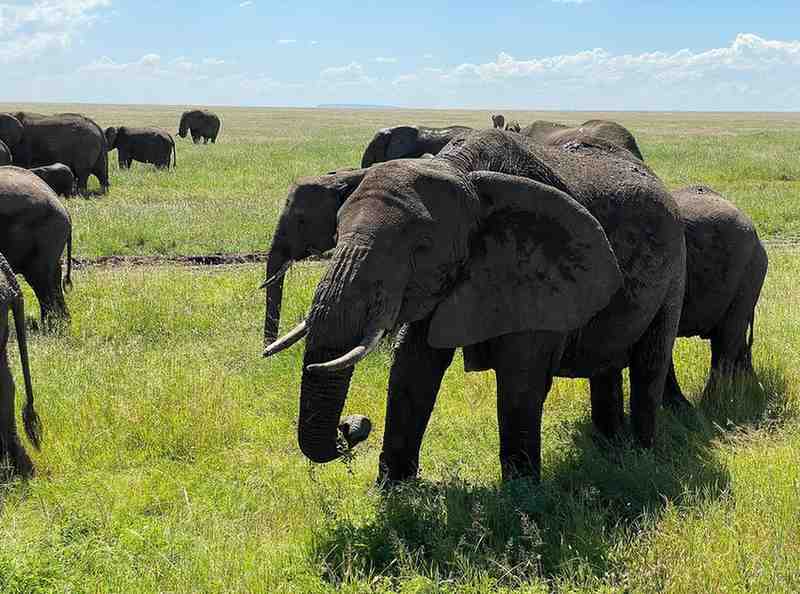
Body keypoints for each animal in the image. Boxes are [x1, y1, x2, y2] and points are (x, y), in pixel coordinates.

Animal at [264, 129, 686, 483]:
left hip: (675, 268)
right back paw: (609, 448)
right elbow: (412, 368)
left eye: (421, 248)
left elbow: (521, 378)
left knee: (650, 360)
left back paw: (640, 455)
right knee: (607, 362)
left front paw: (522, 499)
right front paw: (393, 490)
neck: (461, 169)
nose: (353, 426)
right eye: (336, 232)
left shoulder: (536, 268)